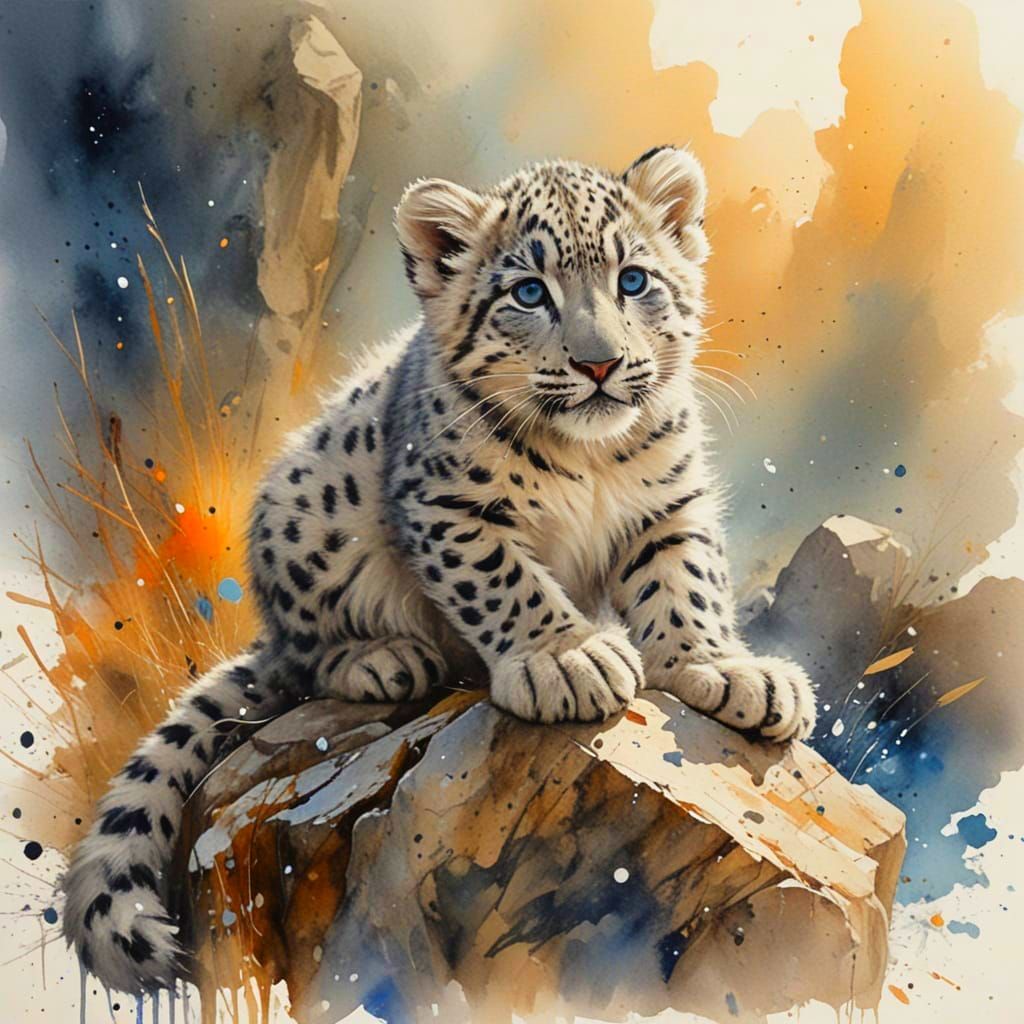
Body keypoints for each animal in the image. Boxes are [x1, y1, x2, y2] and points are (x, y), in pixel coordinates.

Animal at [62, 145, 816, 993]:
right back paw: (383, 659)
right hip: (306, 517)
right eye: (529, 292)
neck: (590, 459)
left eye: (633, 280)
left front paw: (727, 671)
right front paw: (570, 660)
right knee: (303, 655)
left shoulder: (669, 505)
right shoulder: (449, 507)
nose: (600, 363)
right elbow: (505, 583)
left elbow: (687, 586)